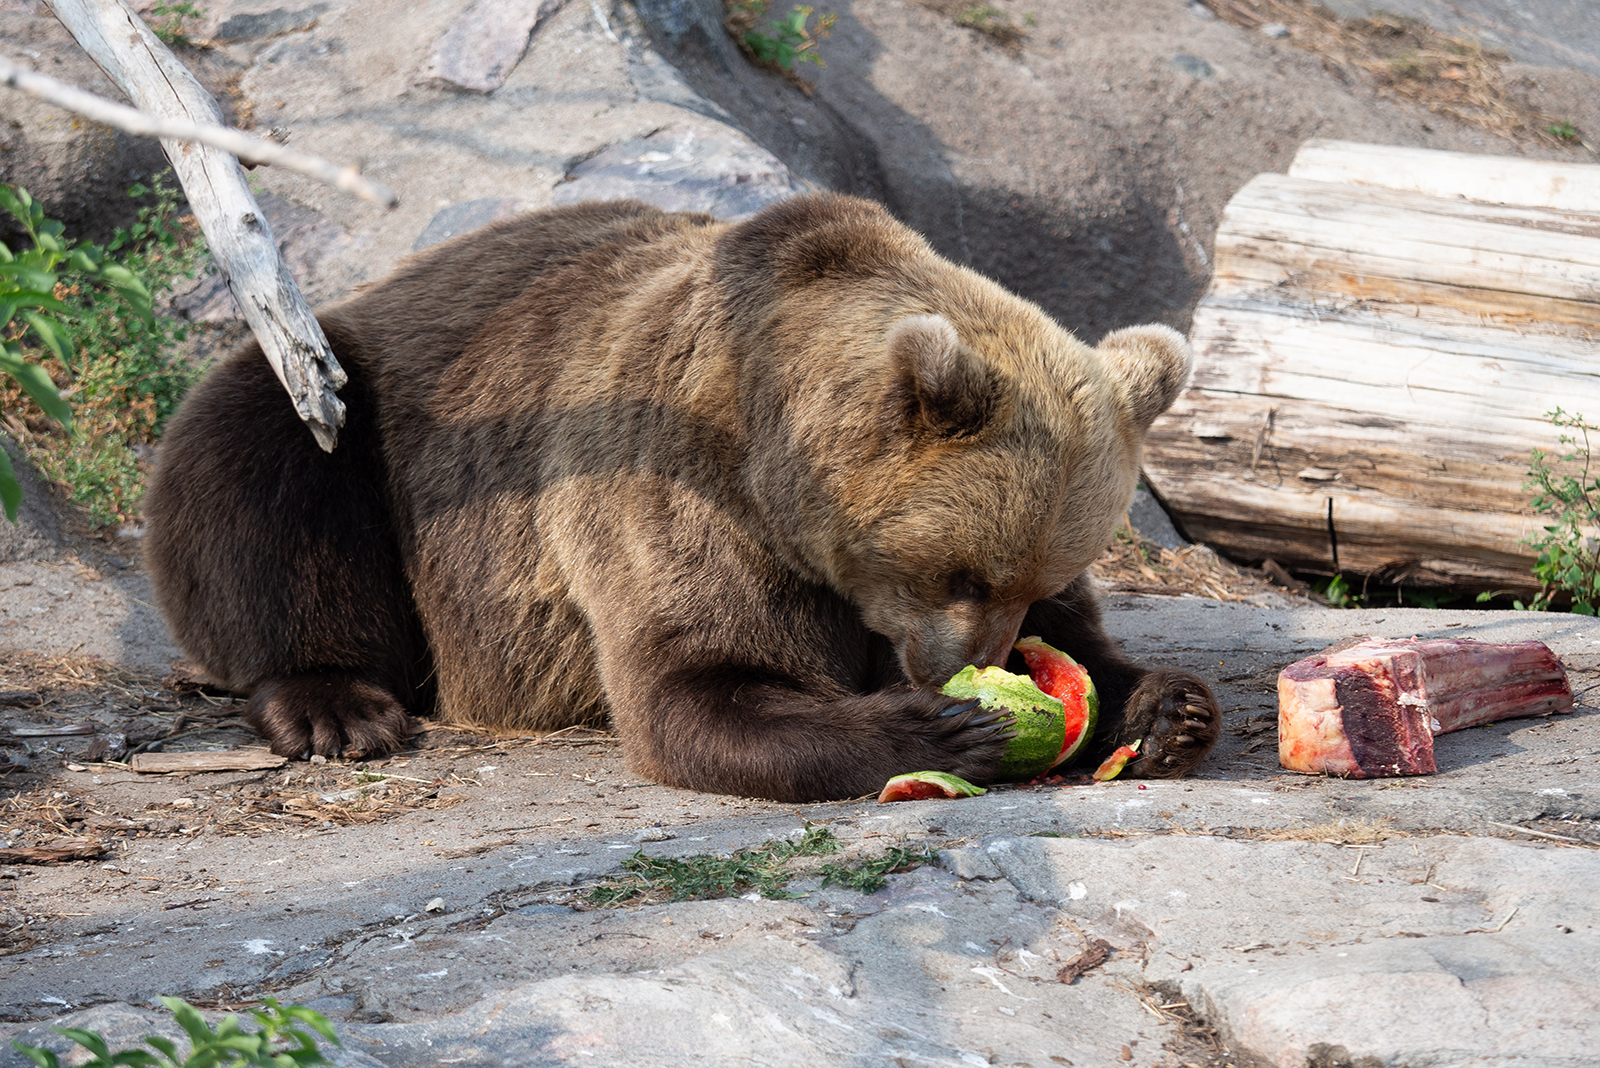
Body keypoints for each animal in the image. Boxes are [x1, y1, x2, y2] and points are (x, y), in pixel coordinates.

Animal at [147, 194, 1222, 799]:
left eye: (1037, 578)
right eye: (962, 573)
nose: (972, 665)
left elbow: (1091, 651)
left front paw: (1167, 707)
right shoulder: (674, 485)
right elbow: (701, 681)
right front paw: (946, 728)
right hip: (357, 396)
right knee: (265, 452)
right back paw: (336, 706)